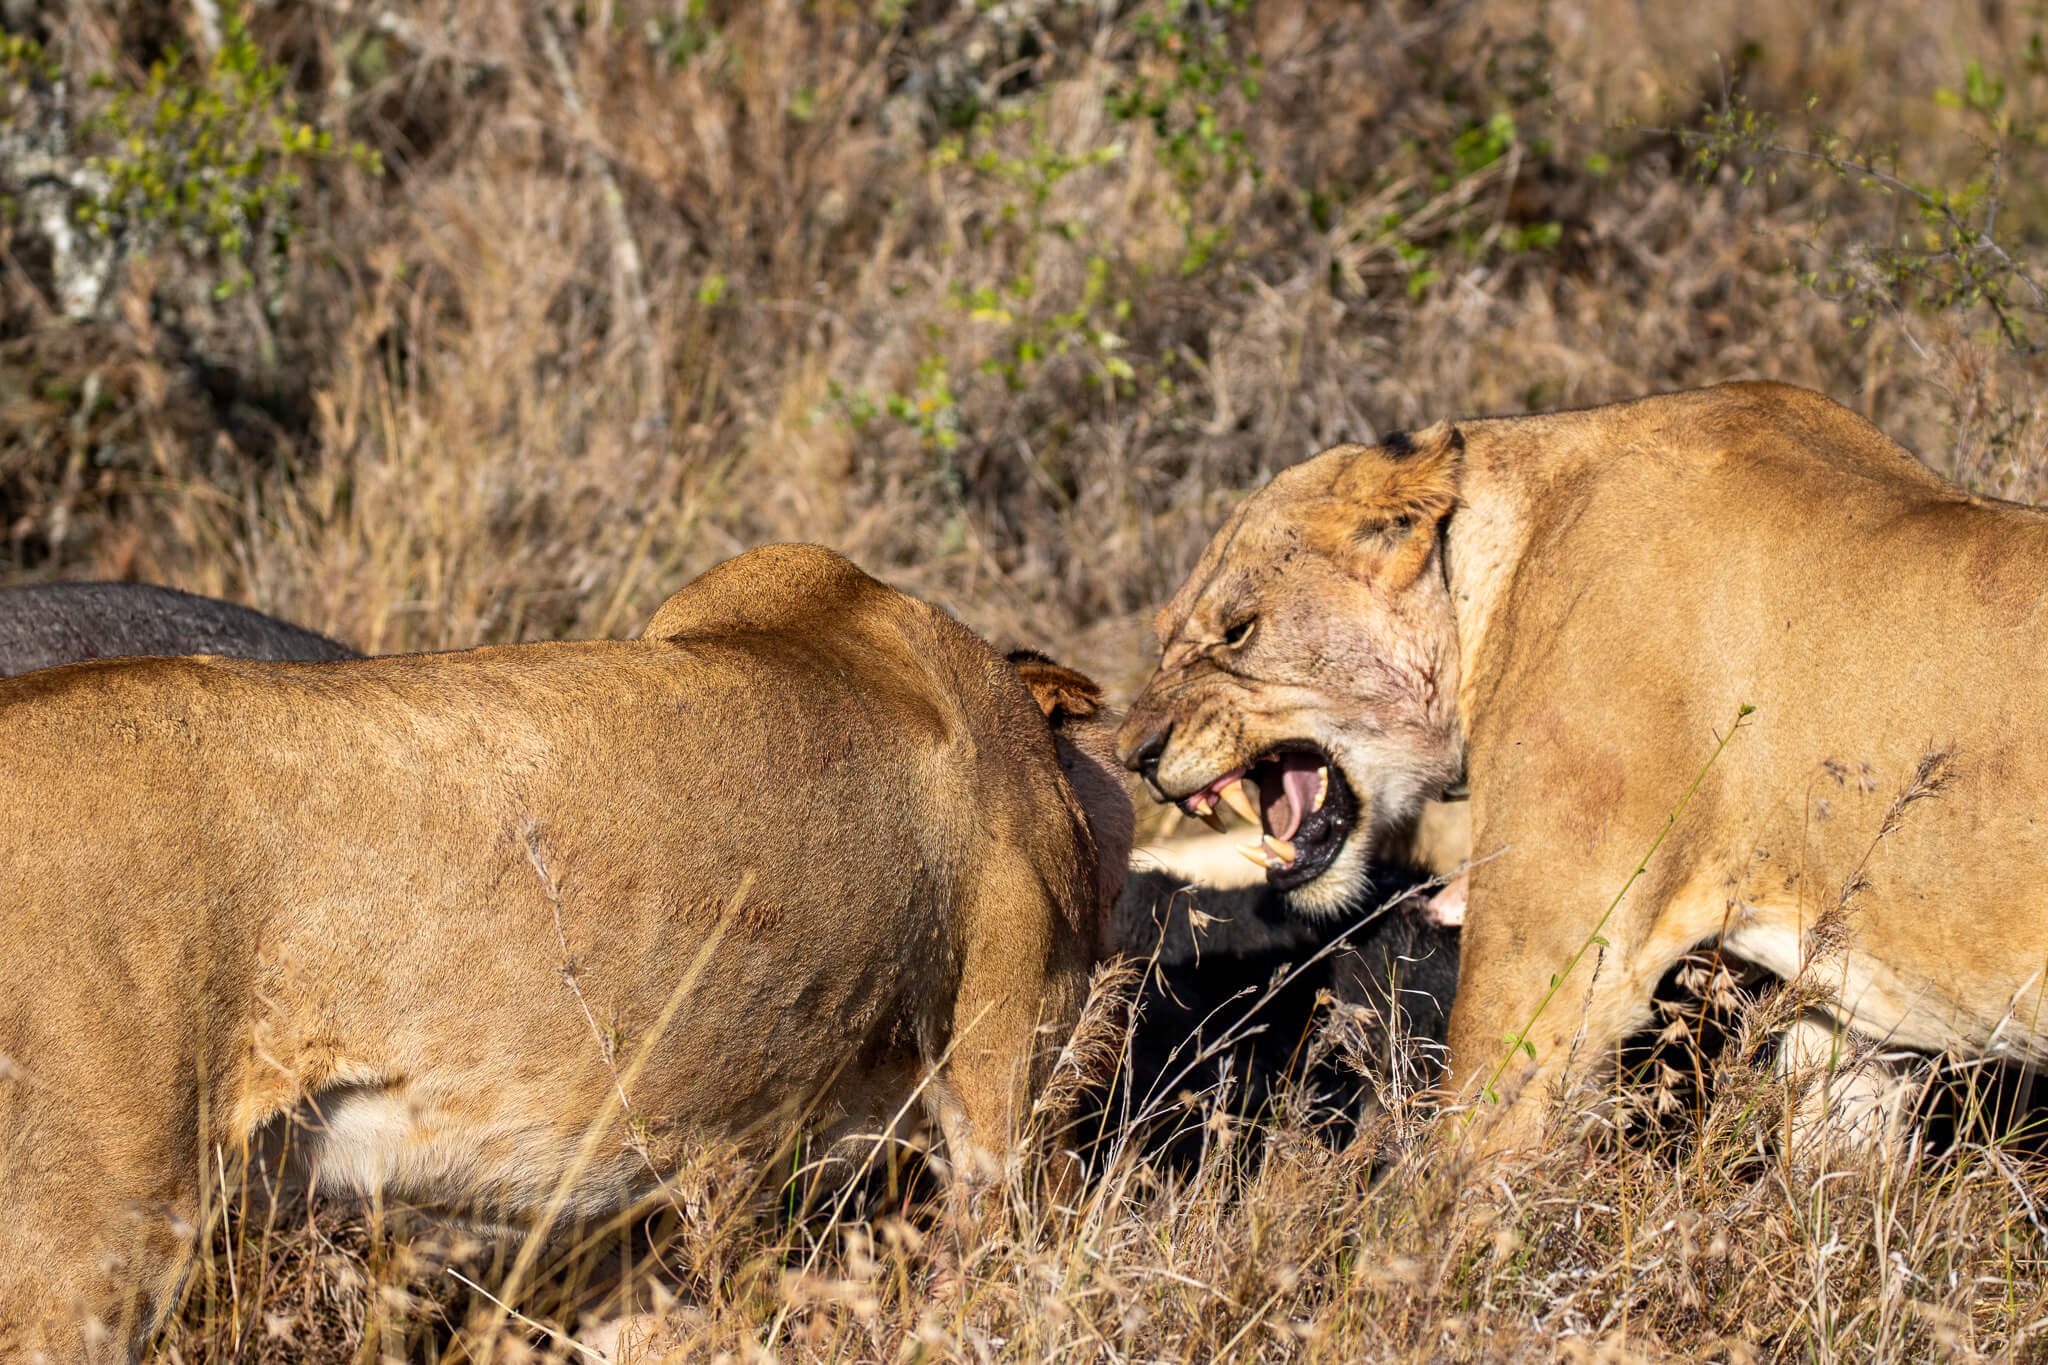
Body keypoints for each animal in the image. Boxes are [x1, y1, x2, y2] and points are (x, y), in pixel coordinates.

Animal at [1117, 382, 2048, 1153]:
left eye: (1238, 630)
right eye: (1164, 632)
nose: (1136, 754)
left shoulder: (1552, 958)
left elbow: (1460, 1187)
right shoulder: (1851, 1009)